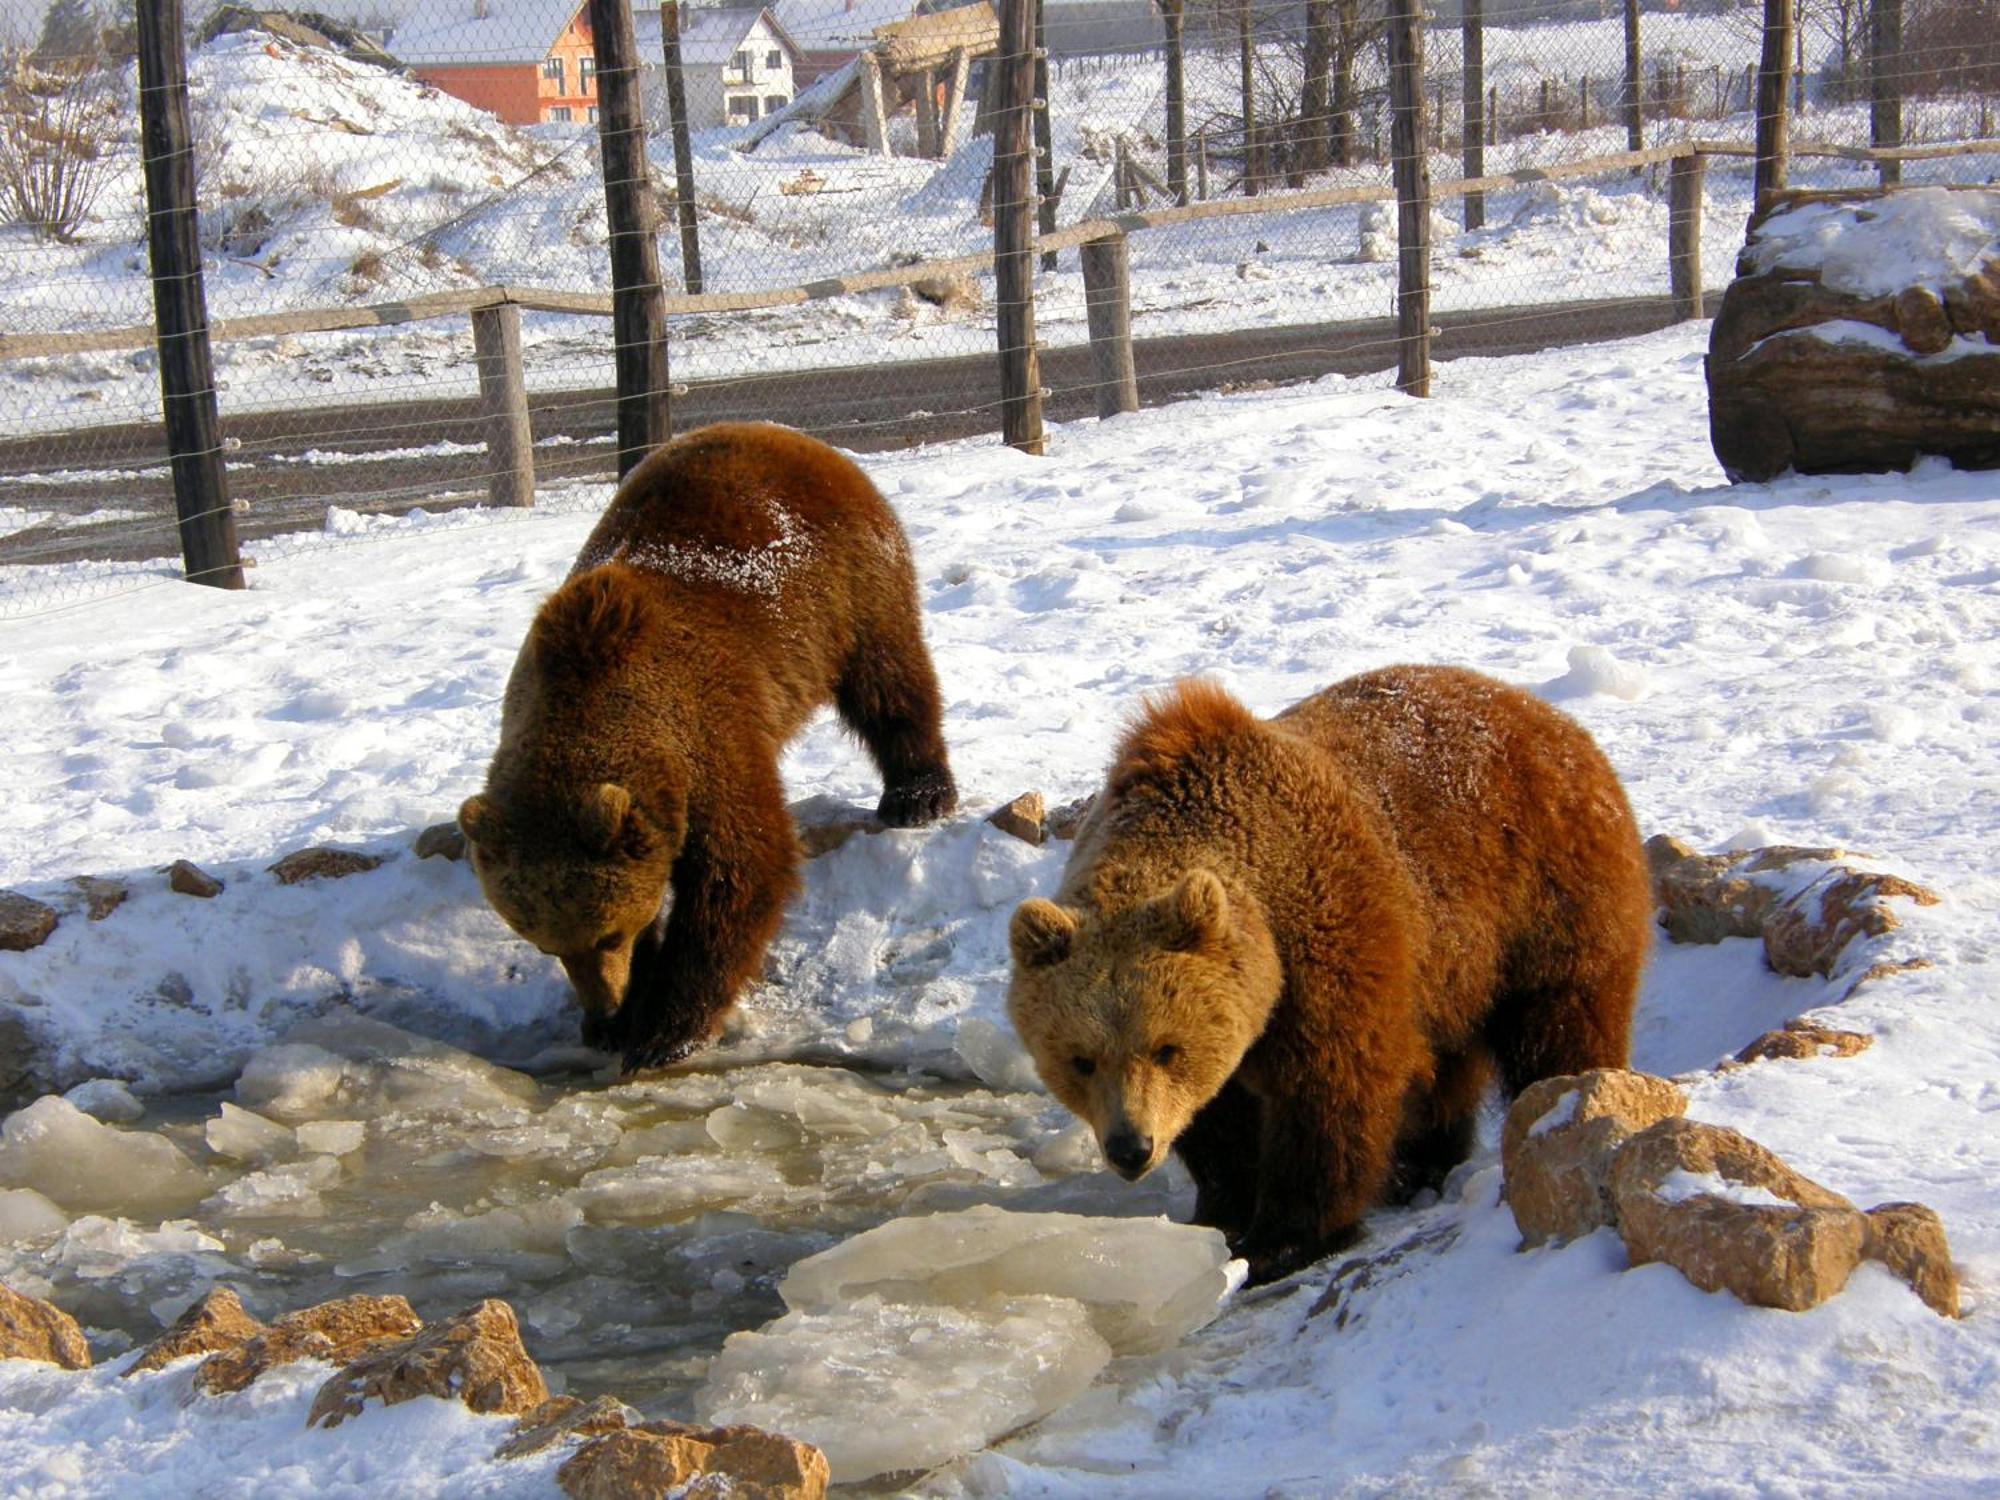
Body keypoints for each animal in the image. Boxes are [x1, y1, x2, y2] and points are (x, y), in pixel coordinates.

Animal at [458, 420, 956, 1072]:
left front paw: (663, 1030)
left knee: (891, 683)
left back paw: (918, 794)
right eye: (545, 944)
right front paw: (622, 1020)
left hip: (852, 586)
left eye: (607, 933)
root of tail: (785, 434)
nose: (603, 1006)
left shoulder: (708, 739)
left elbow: (740, 873)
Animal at [1008, 668, 1648, 1296]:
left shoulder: (1331, 939)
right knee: (1450, 1059)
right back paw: (1422, 1163)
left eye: (1166, 1047)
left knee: (1559, 1018)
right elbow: (1217, 1121)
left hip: (1542, 889)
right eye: (1080, 1059)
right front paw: (1219, 1217)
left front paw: (1285, 1240)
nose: (1131, 1147)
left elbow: (1332, 1092)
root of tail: (1548, 717)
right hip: (1454, 964)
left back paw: (1559, 1099)